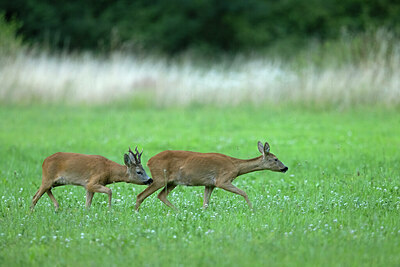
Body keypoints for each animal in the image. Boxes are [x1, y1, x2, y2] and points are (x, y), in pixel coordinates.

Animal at [135, 141, 288, 210]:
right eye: (275, 159)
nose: (285, 167)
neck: (236, 166)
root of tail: (149, 161)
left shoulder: (209, 184)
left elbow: (205, 204)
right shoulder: (222, 180)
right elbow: (244, 192)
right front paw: (252, 208)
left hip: (172, 182)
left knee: (161, 195)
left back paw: (178, 211)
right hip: (160, 178)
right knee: (140, 195)